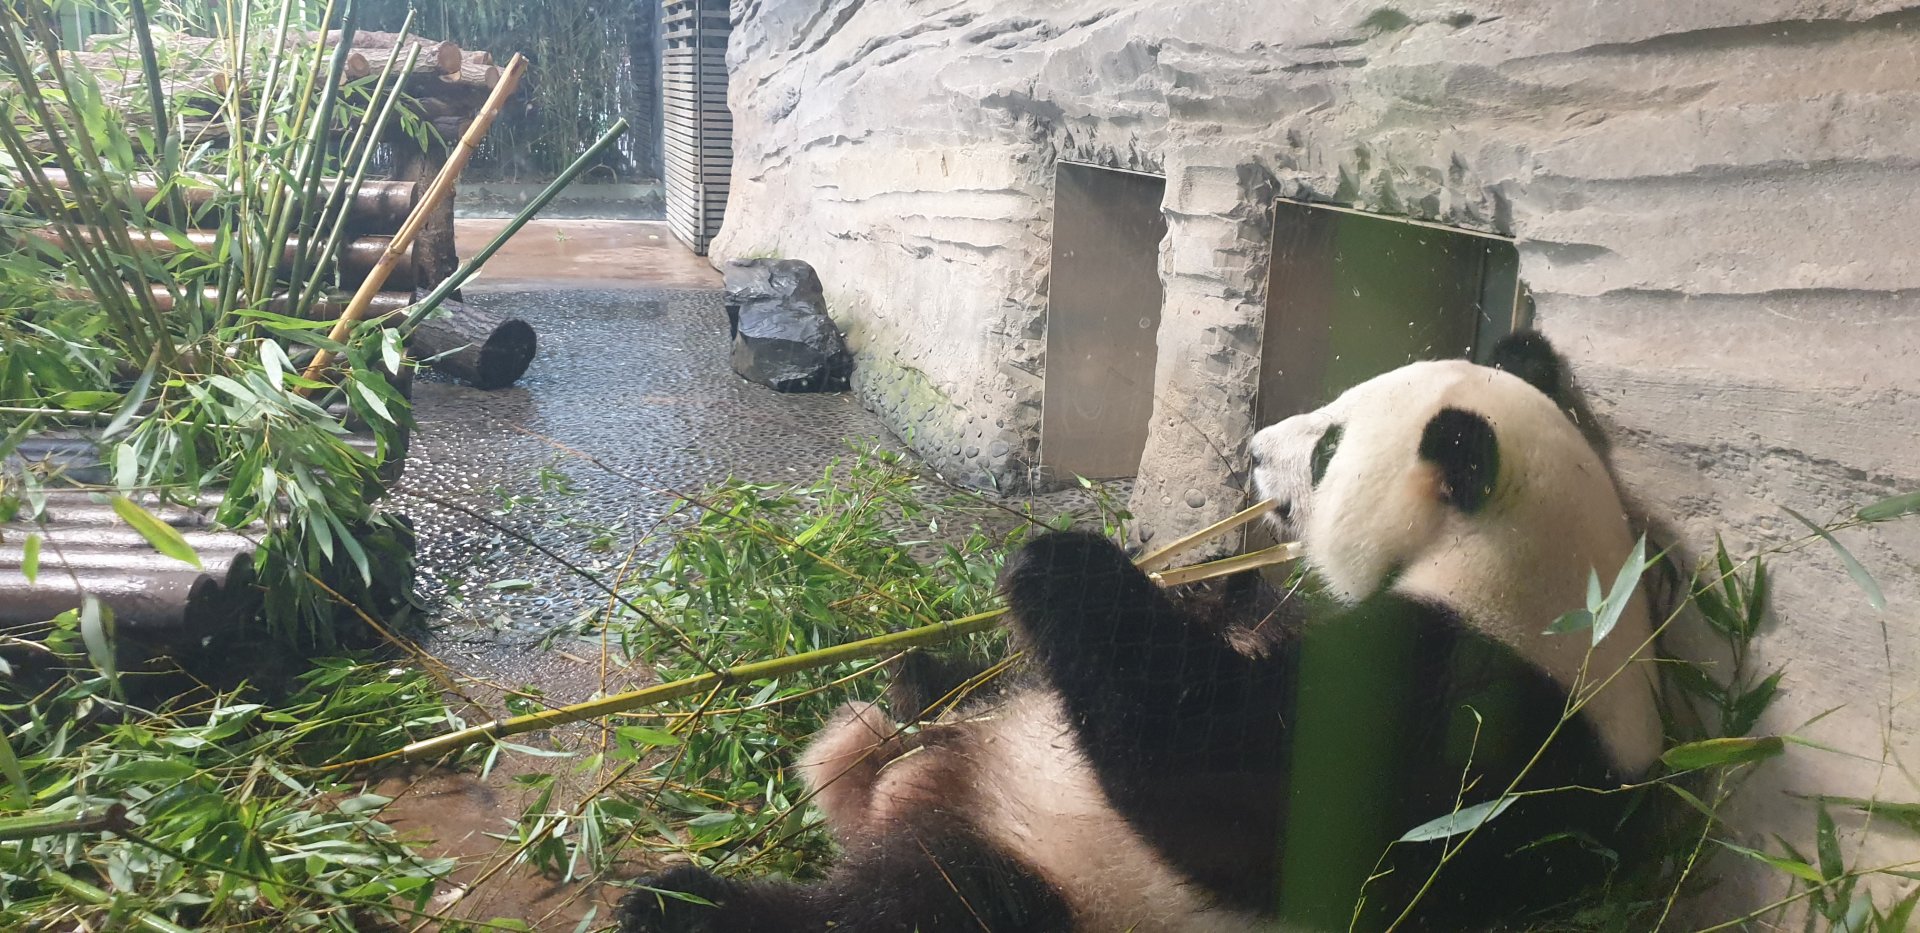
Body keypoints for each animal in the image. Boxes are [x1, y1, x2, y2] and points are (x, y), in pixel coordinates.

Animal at [618, 332, 1664, 933]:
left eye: (1331, 445)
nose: (1252, 450)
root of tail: (899, 791)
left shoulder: (1470, 720)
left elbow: (1245, 791)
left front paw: (1062, 564)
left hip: (1064, 880)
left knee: (915, 910)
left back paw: (679, 904)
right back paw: (914, 686)